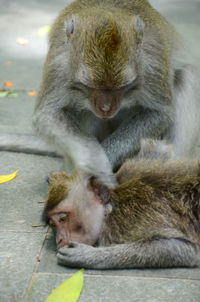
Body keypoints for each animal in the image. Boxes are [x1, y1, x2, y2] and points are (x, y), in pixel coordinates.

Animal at [27, 0, 198, 184]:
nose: (106, 108)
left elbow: (159, 113)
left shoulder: (153, 62)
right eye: (89, 87)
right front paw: (94, 162)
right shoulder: (59, 62)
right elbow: (48, 114)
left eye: (122, 87)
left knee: (187, 75)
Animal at [43, 156, 200, 268]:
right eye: (53, 225)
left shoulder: (129, 223)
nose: (59, 239)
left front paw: (88, 256)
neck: (112, 207)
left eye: (63, 218)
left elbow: (187, 249)